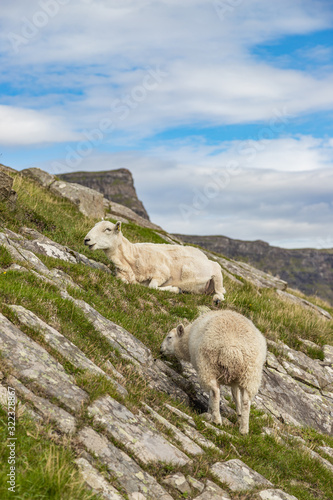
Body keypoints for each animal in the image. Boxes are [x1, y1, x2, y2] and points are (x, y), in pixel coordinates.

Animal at [83, 222, 226, 304]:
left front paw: (176, 289)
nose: (86, 239)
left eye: (107, 229)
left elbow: (152, 286)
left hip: (216, 272)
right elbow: (126, 281)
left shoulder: (163, 273)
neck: (132, 255)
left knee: (220, 293)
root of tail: (204, 256)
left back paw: (217, 299)